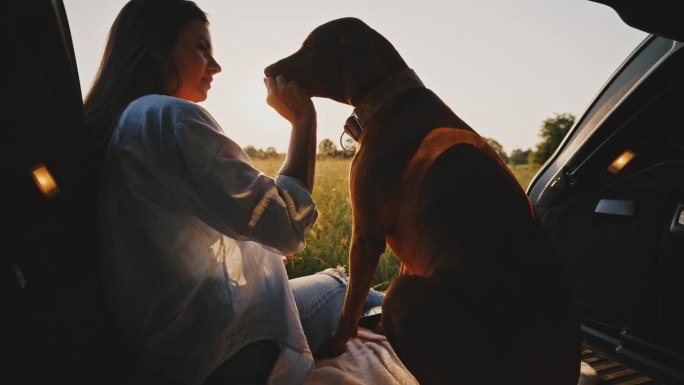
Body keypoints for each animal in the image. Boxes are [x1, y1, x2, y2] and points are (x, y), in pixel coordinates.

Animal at [264, 18, 580, 384]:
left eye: (311, 47)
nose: (266, 70)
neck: (387, 100)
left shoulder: (367, 236)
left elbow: (351, 303)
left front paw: (335, 344)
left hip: (404, 294)